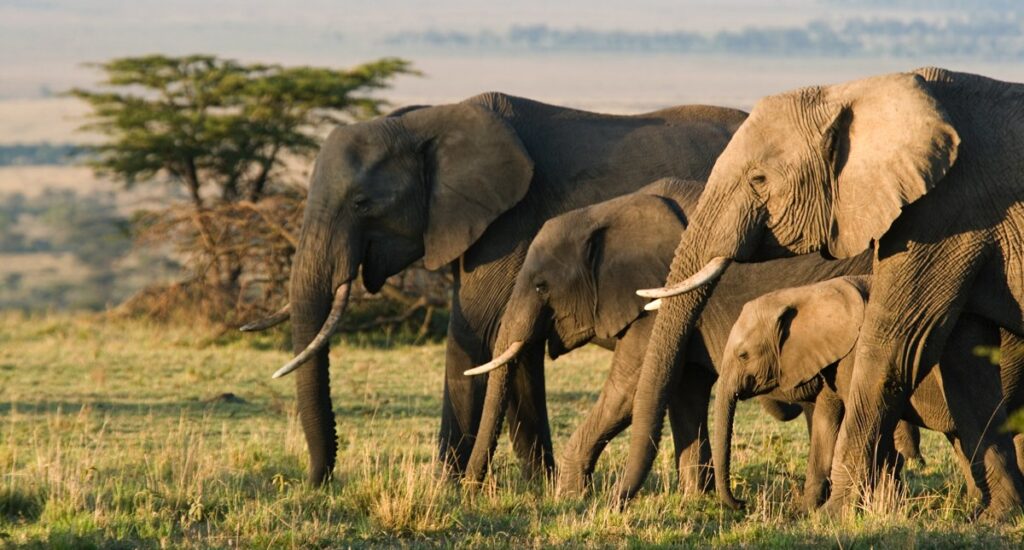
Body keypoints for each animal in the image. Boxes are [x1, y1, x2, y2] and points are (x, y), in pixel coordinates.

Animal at [242, 92, 749, 483]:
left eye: (362, 203)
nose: (317, 481)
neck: (426, 121)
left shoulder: (508, 223)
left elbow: (476, 334)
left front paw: (445, 488)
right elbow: (513, 349)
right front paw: (537, 486)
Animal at [712, 274, 1024, 514]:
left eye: (743, 355)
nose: (742, 503)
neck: (808, 293)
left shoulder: (856, 353)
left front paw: (881, 509)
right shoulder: (833, 358)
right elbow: (826, 423)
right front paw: (804, 511)